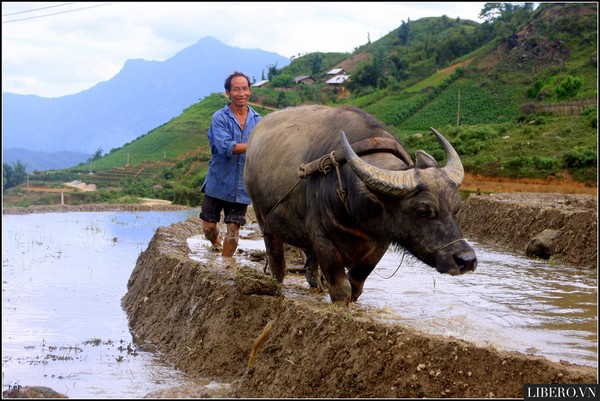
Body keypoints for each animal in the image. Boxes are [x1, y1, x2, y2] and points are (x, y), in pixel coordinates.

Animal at [244, 104, 478, 304]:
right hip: (265, 220)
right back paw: (276, 285)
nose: (466, 260)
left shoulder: (381, 241)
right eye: (422, 210)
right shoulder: (322, 238)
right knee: (276, 259)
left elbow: (357, 282)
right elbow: (341, 287)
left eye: (456, 208)